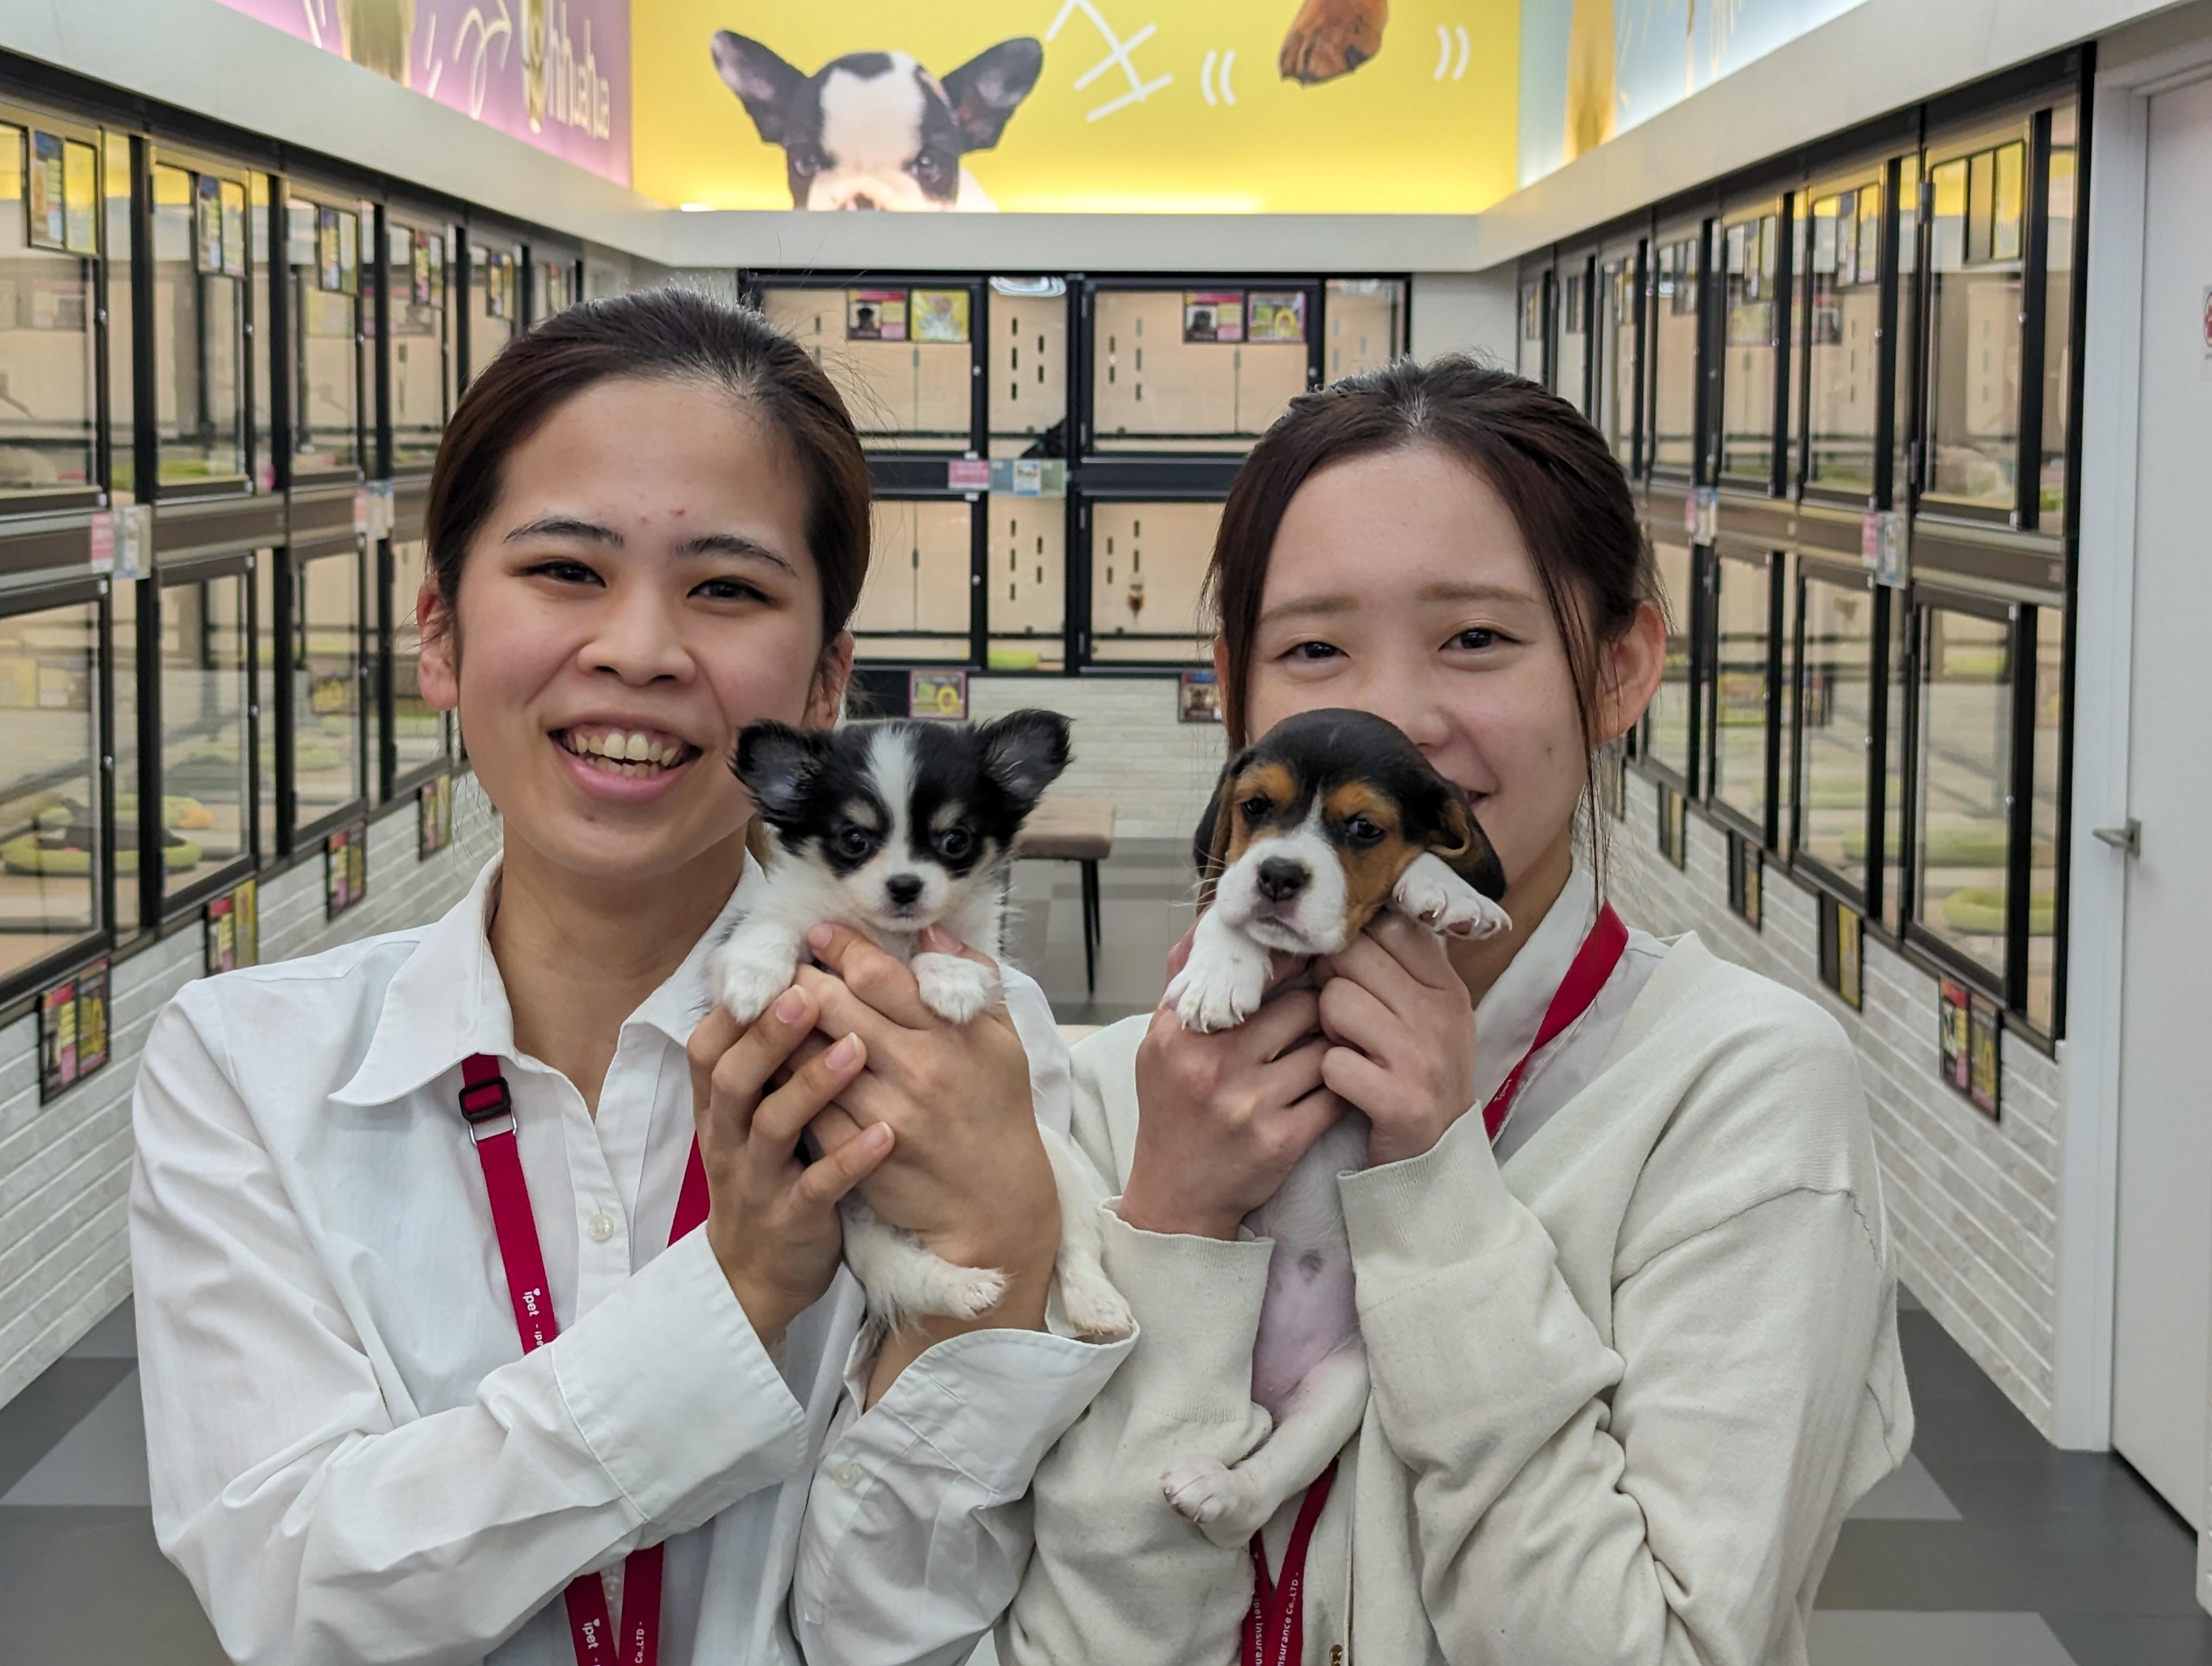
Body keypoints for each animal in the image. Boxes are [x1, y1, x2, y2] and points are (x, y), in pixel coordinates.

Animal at [708, 712, 1132, 1336]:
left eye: (955, 841)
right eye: (853, 840)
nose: (905, 885)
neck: (890, 937)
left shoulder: (980, 950)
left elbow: (951, 951)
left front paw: (949, 980)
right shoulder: (779, 921)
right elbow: (771, 927)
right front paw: (754, 978)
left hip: (1055, 1164)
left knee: (1076, 1245)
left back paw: (1095, 1305)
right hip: (857, 1227)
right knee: (911, 1274)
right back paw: (970, 1289)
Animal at [1159, 712, 1504, 1548]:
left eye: (1363, 829)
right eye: (1255, 808)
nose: (1280, 875)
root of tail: (1269, 1387)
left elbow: (1422, 878)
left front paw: (1446, 888)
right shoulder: (1225, 895)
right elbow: (1224, 911)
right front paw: (1220, 973)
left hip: (1344, 1385)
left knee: (1269, 1477)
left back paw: (1219, 1490)